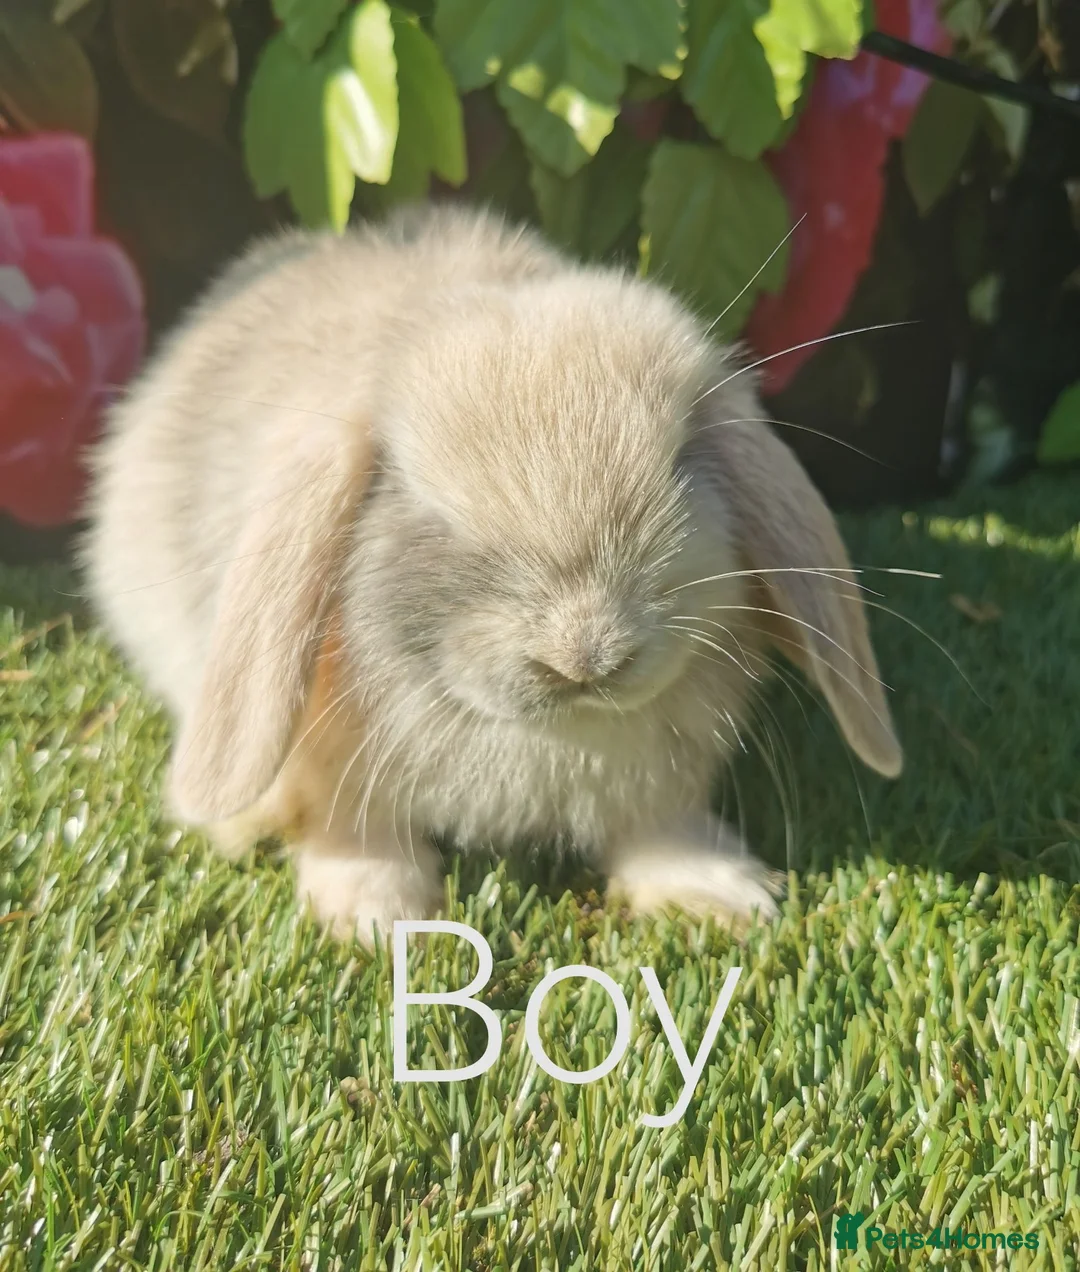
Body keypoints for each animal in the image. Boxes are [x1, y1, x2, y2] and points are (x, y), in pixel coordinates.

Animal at [83, 204, 902, 944]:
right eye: (423, 502)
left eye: (681, 463)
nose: (586, 655)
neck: (551, 733)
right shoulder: (335, 764)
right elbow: (356, 832)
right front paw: (375, 919)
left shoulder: (661, 780)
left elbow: (662, 827)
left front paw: (718, 897)